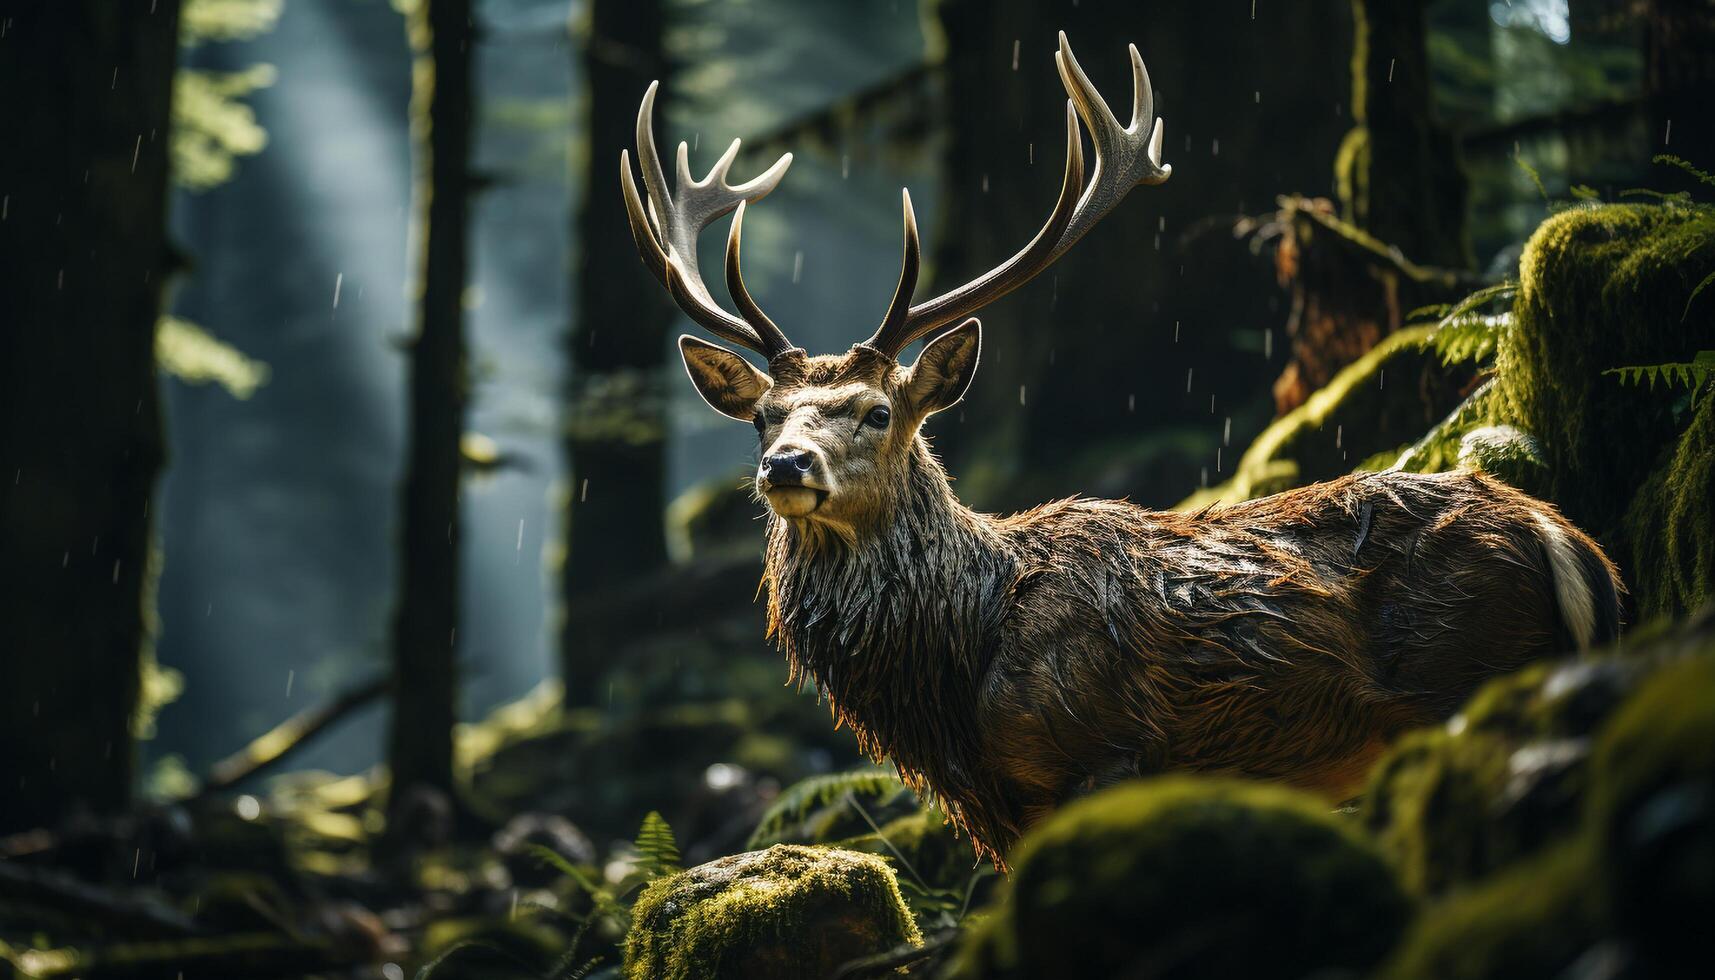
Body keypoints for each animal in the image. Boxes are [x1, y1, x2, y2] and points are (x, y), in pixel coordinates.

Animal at [617, 34, 1618, 871]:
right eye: (764, 415)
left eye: (873, 411)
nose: (785, 467)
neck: (956, 671)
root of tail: (1562, 536)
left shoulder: (1099, 754)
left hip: (1469, 673)